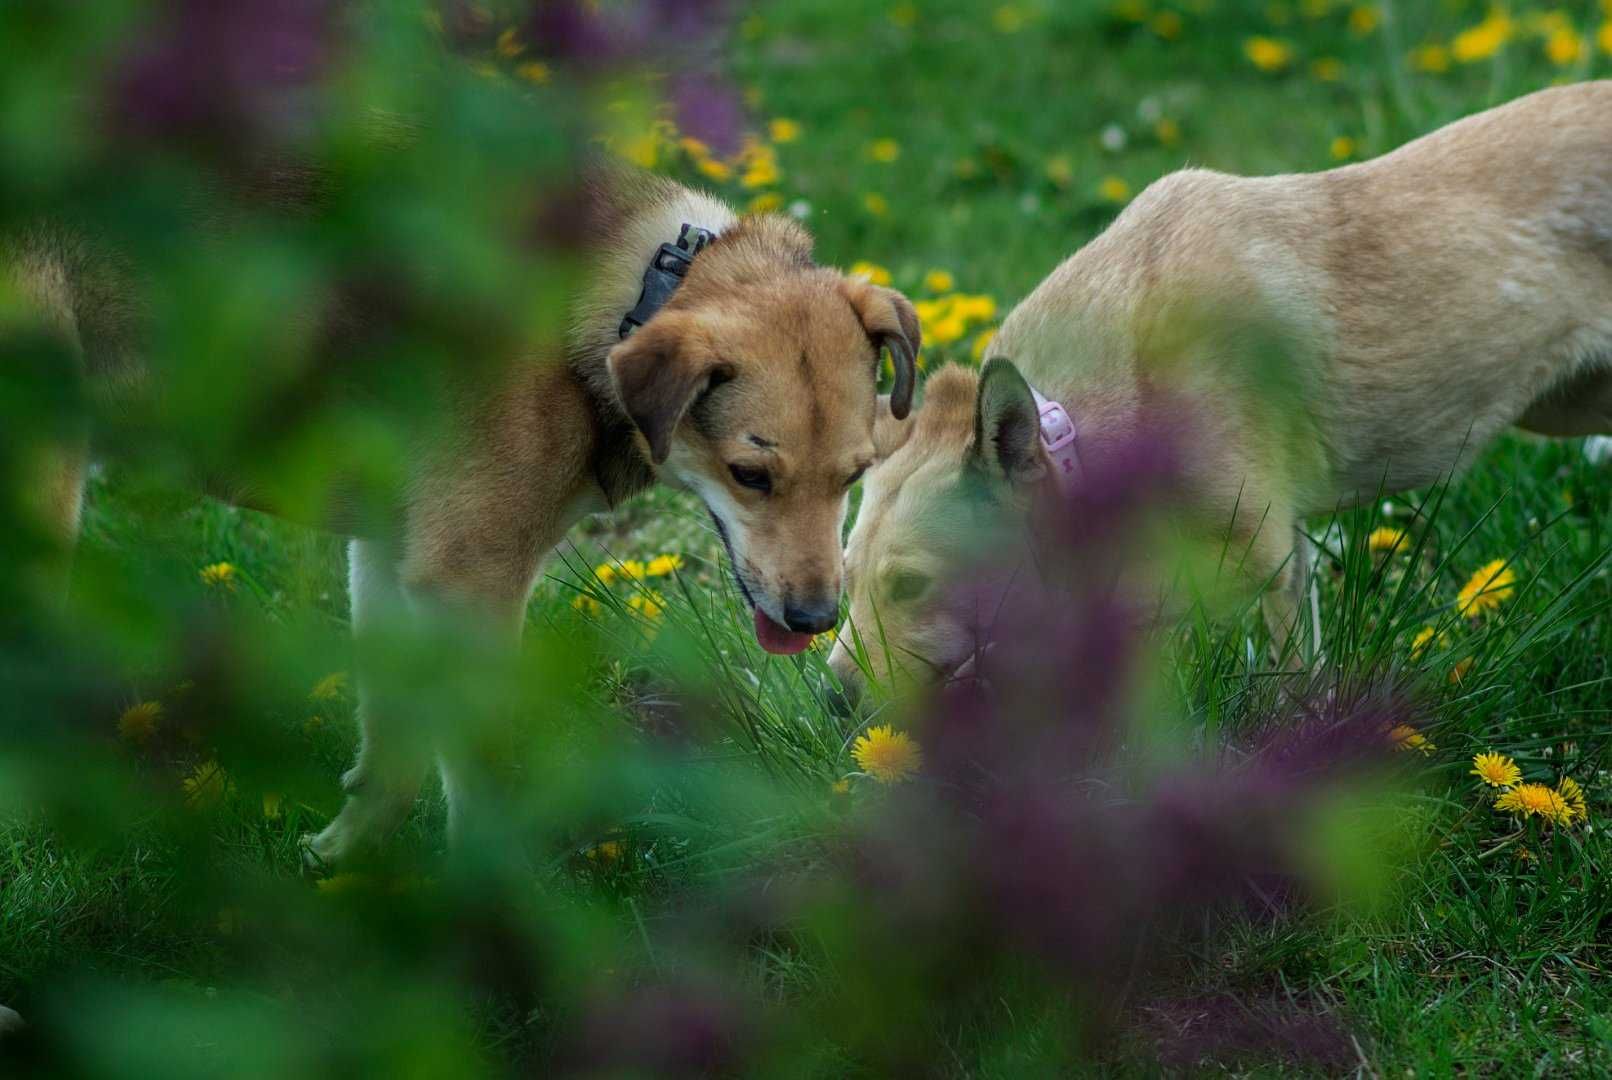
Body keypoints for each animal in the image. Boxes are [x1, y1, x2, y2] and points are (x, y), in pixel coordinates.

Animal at [9, 166, 922, 864]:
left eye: (856, 474)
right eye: (748, 475)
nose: (815, 620)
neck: (631, 294)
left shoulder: (389, 559)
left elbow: (393, 753)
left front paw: (339, 862)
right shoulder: (468, 581)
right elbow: (479, 781)